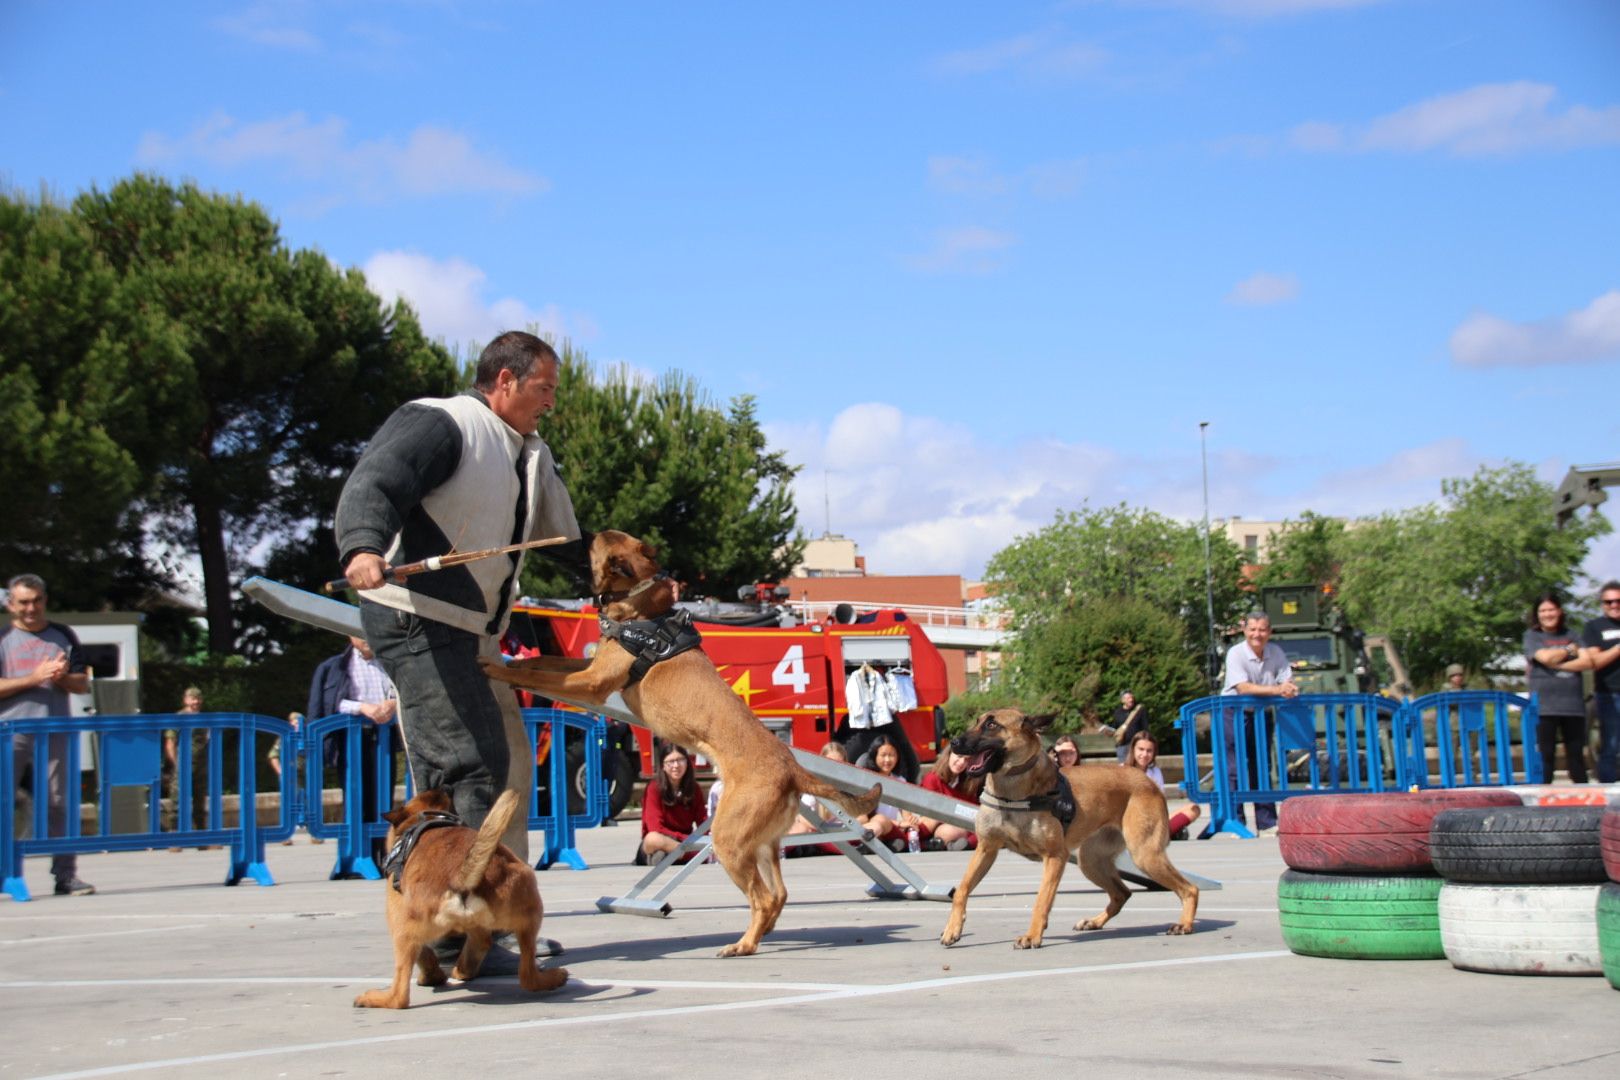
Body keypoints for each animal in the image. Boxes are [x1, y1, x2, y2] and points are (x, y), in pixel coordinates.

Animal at [351, 786, 567, 1003]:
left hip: (403, 931)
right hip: (527, 905)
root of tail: (459, 878)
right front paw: (457, 972)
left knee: (399, 996)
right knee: (524, 972)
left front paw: (431, 976)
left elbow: (425, 954)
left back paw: (376, 998)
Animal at [479, 527, 887, 958]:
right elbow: (541, 664)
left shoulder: (592, 682)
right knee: (778, 895)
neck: (639, 605)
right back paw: (758, 936)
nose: (573, 534)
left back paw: (742, 945)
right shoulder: (587, 667)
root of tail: (793, 769)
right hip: (761, 844)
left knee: (761, 897)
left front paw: (496, 669)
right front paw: (512, 660)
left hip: (729, 841)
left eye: (593, 540)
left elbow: (540, 677)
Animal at [946, 712, 1198, 952]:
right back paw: (1094, 922)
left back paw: (1184, 924)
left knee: (1189, 889)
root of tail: (1147, 781)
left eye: (991, 725)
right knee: (1122, 893)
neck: (1011, 792)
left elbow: (1041, 900)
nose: (954, 742)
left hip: (1145, 855)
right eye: (977, 721)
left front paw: (1032, 936)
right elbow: (962, 890)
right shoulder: (985, 850)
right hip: (1091, 862)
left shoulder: (1055, 857)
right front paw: (953, 928)